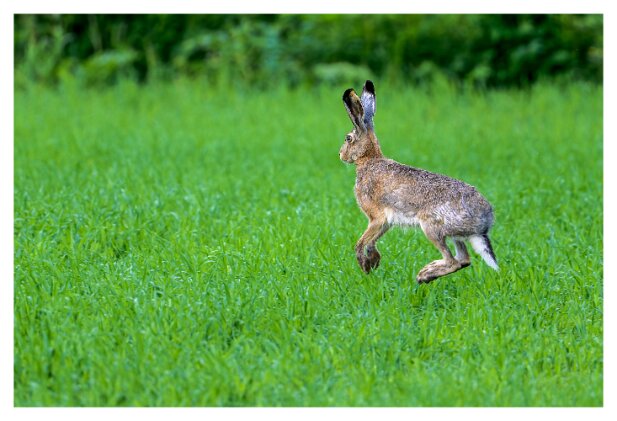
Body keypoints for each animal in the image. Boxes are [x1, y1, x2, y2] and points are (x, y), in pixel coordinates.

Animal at [339, 80, 498, 283]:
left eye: (348, 138)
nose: (341, 155)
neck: (369, 160)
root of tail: (484, 222)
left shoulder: (377, 217)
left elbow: (361, 243)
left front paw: (366, 267)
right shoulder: (384, 222)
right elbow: (372, 242)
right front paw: (374, 261)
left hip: (431, 227)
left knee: (453, 261)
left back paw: (424, 275)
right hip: (455, 236)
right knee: (464, 260)